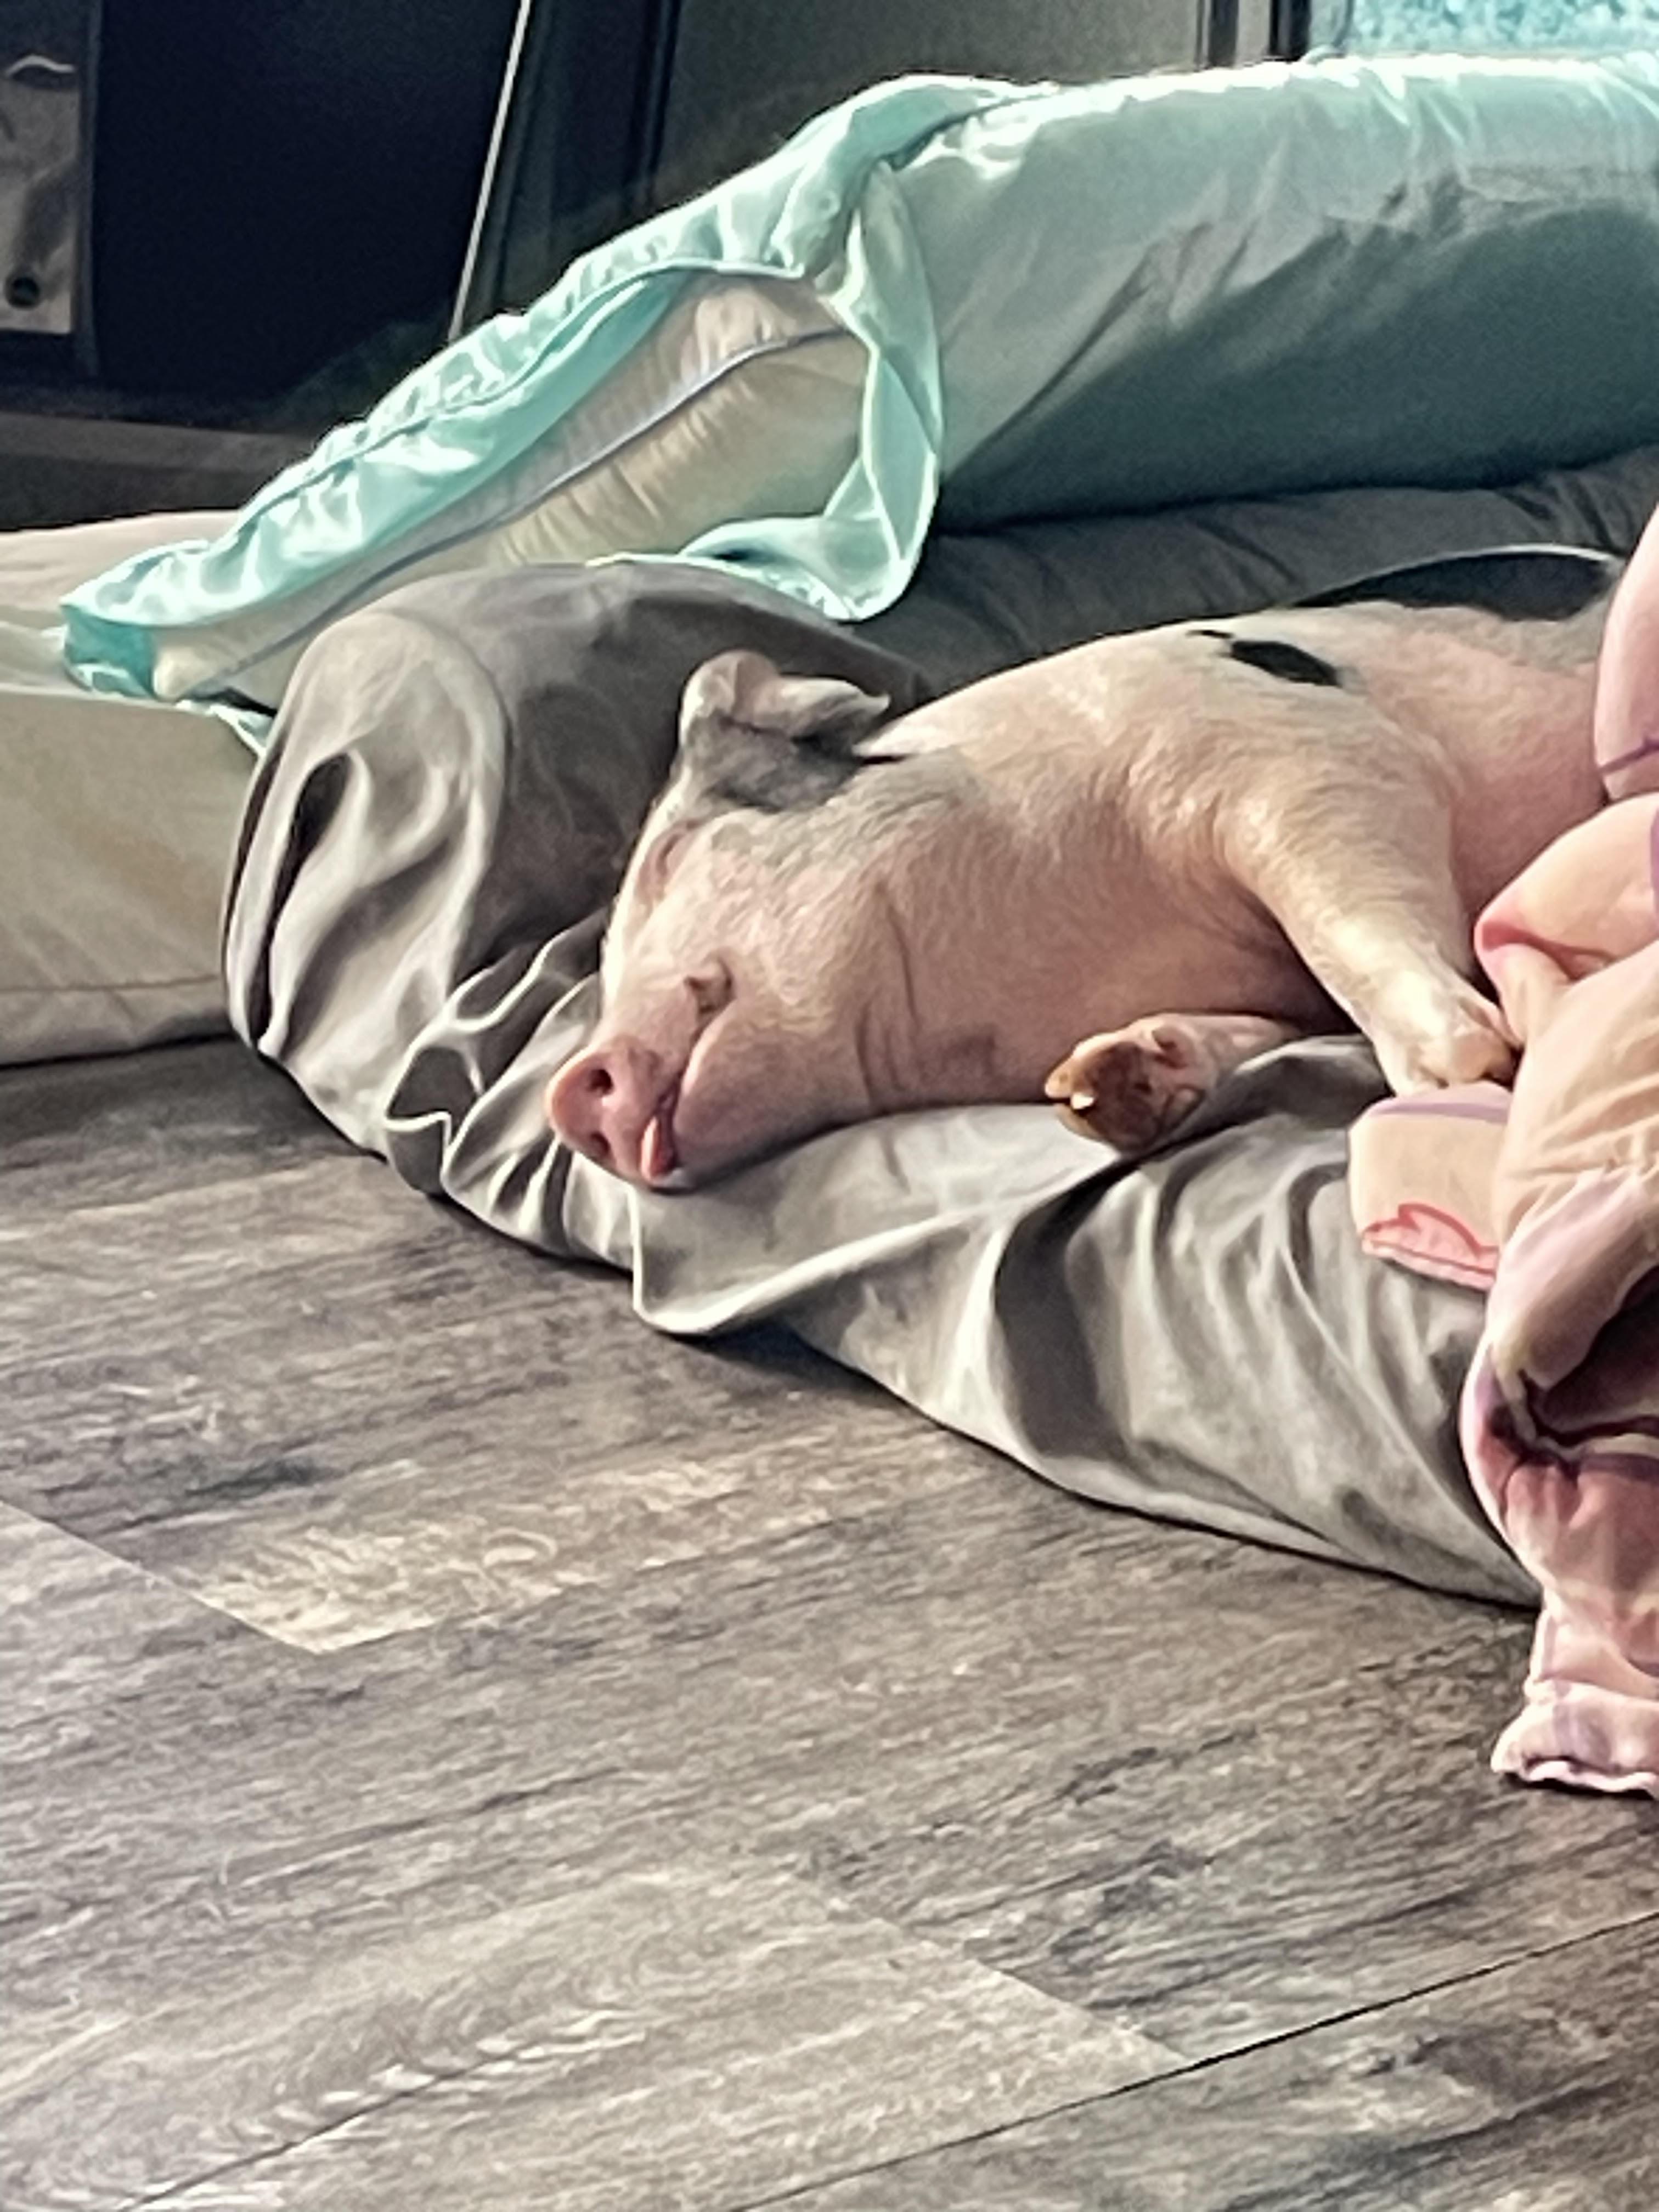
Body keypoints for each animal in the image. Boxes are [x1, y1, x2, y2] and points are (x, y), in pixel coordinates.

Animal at [547, 556, 1617, 1187]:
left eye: (672, 859)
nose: (569, 1093)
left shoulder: (1300, 755)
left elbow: (1343, 924)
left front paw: (1463, 1071)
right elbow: (1276, 1025)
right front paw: (1100, 1086)